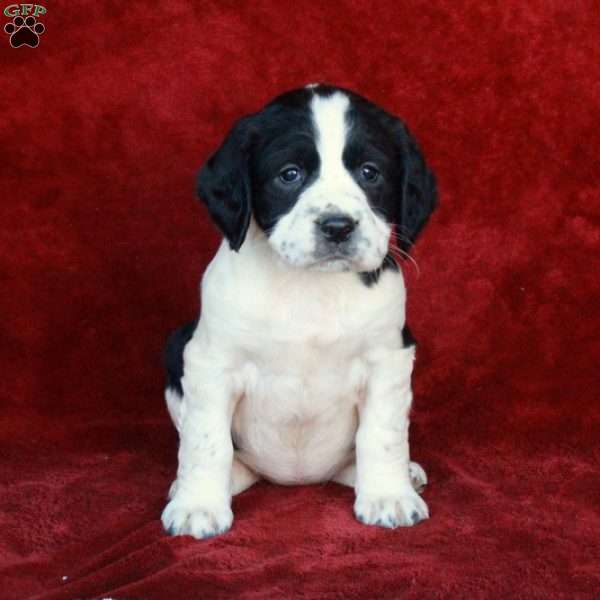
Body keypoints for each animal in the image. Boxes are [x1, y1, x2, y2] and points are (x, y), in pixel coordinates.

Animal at [162, 83, 438, 540]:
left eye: (370, 173)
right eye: (289, 174)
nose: (337, 226)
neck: (310, 288)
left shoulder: (388, 359)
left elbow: (381, 434)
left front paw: (388, 496)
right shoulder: (210, 362)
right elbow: (207, 440)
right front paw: (197, 503)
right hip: (175, 344)